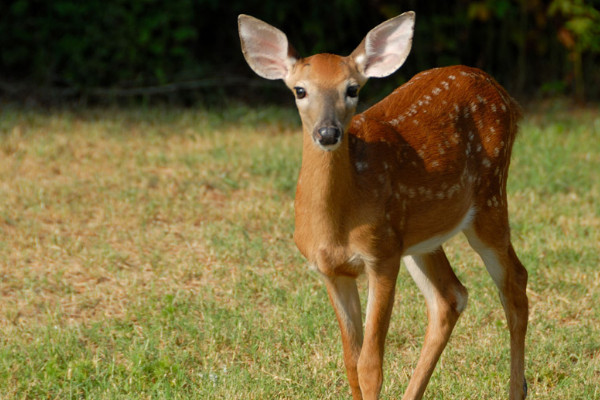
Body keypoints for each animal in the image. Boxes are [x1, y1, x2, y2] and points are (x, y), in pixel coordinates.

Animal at [237, 10, 528, 398]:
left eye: (352, 89)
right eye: (300, 90)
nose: (328, 133)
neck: (336, 224)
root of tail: (503, 93)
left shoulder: (381, 256)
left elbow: (370, 365)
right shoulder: (331, 270)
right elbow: (350, 361)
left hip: (489, 198)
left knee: (515, 283)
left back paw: (516, 388)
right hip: (419, 236)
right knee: (450, 297)